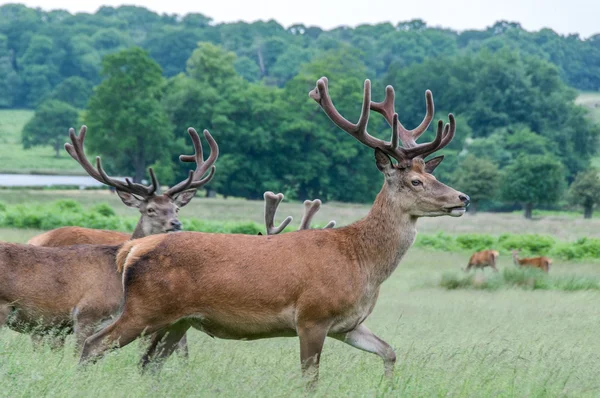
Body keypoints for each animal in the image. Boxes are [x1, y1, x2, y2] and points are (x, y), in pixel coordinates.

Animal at [78, 77, 468, 386]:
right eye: (416, 181)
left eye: (432, 174)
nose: (462, 198)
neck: (361, 263)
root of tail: (131, 250)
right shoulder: (312, 316)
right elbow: (310, 379)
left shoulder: (348, 324)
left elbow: (390, 352)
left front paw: (387, 386)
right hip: (145, 309)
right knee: (92, 345)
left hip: (179, 321)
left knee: (148, 365)